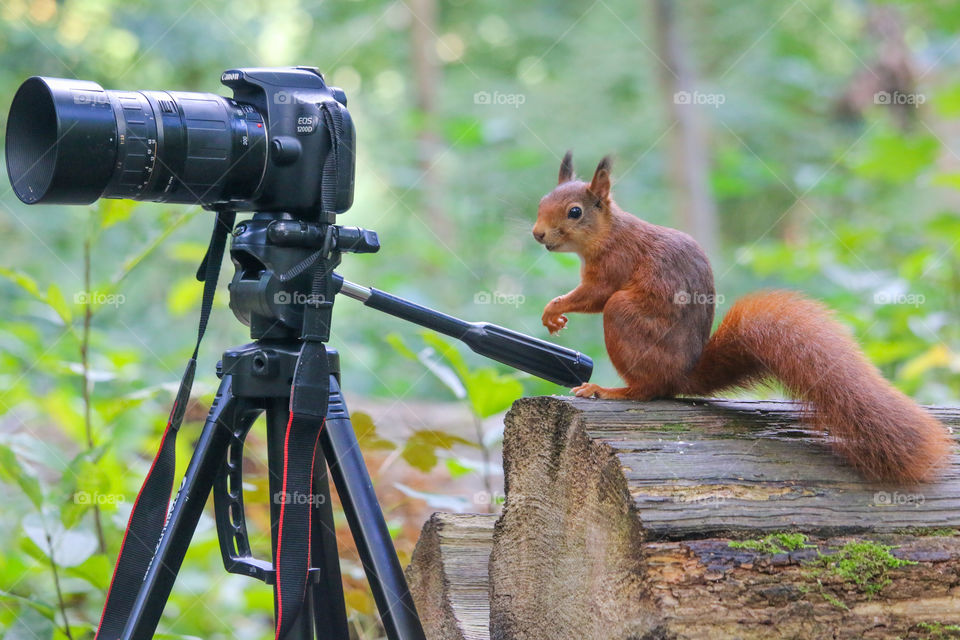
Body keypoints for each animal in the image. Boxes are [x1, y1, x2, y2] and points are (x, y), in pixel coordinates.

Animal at [532, 152, 952, 482]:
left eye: (574, 212)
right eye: (541, 202)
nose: (537, 234)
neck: (608, 233)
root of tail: (683, 374)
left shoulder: (613, 265)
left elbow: (595, 295)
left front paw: (554, 309)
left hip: (626, 318)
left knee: (649, 389)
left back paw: (610, 390)